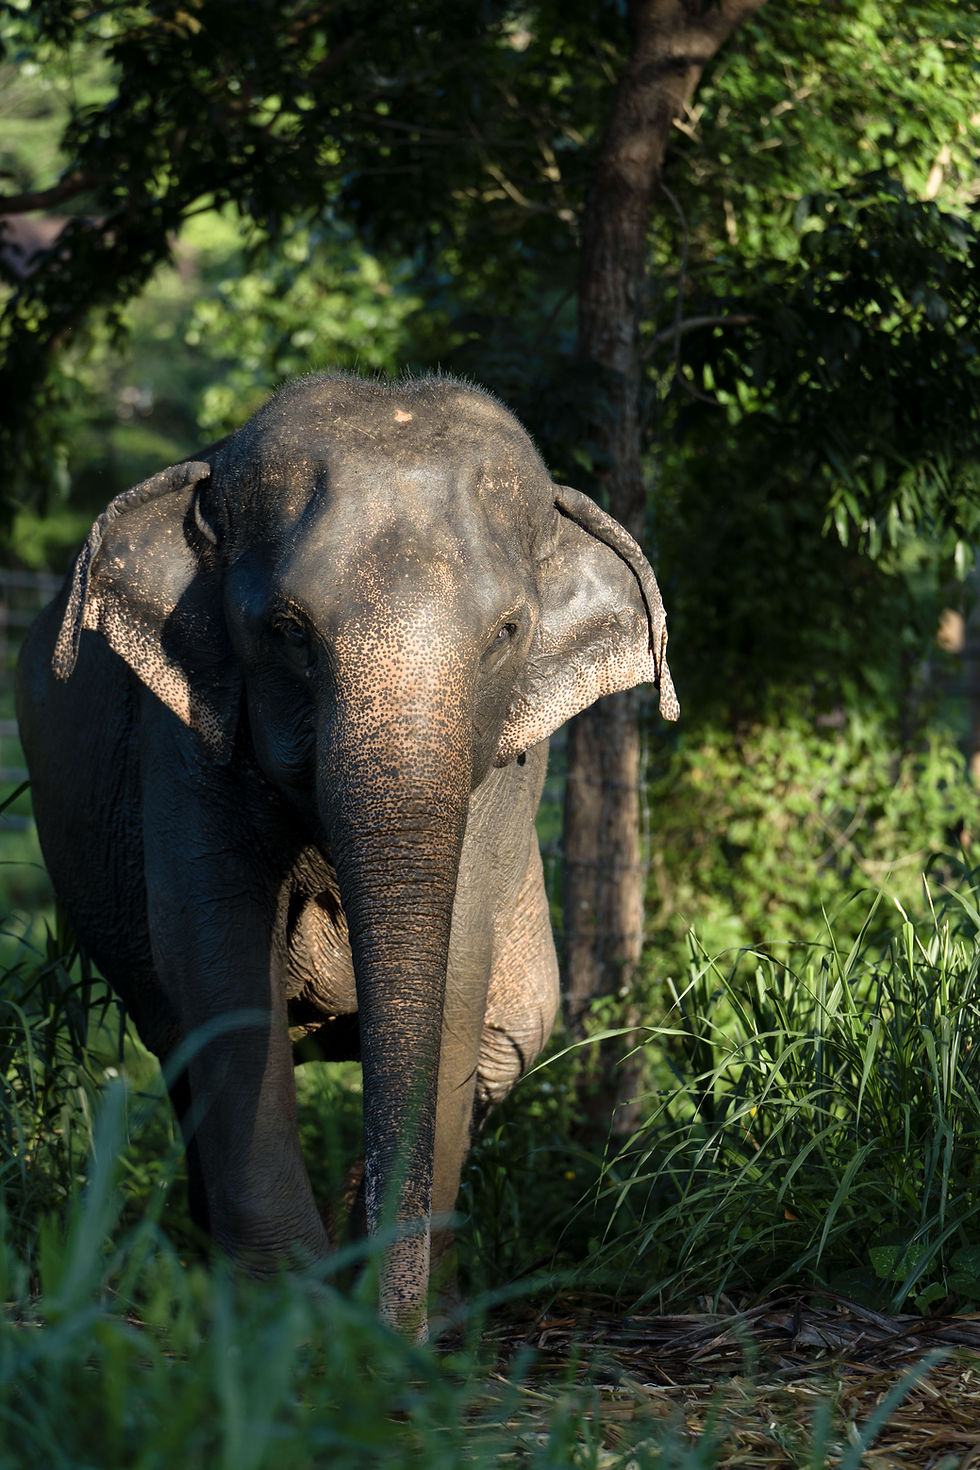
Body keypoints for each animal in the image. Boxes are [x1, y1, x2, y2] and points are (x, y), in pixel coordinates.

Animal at [16, 372, 678, 1336]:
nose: (389, 1328)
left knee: (506, 1042)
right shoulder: (183, 732)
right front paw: (287, 1317)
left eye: (508, 632)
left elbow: (457, 965)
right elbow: (216, 956)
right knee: (177, 1039)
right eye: (289, 630)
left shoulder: (502, 773)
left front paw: (396, 1324)